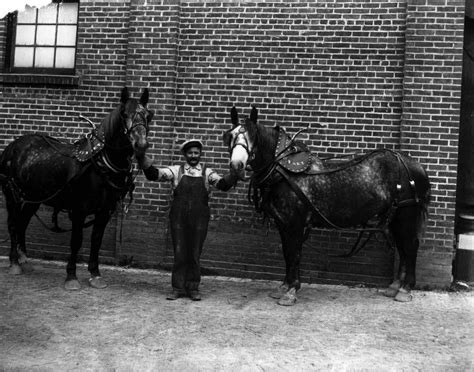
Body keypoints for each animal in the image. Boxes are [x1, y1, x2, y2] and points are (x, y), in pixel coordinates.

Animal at [0, 87, 153, 290]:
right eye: (124, 114)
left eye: (148, 115)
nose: (141, 144)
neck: (99, 165)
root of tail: (11, 147)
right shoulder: (79, 211)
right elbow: (76, 241)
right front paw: (71, 276)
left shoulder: (105, 211)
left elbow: (96, 240)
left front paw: (95, 274)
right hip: (13, 196)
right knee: (12, 224)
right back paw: (15, 263)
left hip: (33, 198)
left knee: (22, 223)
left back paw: (24, 259)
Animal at [224, 106, 432, 306]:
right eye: (229, 136)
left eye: (253, 136)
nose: (237, 165)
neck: (283, 172)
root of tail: (416, 166)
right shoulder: (283, 224)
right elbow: (287, 253)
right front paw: (284, 287)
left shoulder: (295, 224)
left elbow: (294, 254)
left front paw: (291, 291)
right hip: (395, 218)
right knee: (402, 248)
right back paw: (395, 286)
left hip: (406, 215)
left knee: (410, 247)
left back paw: (405, 289)